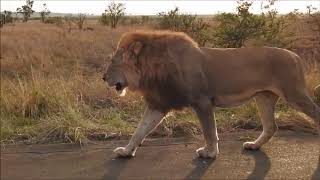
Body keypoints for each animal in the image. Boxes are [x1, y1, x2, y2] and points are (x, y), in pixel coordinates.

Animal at [102, 31, 320, 159]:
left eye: (113, 62)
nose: (103, 78)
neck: (152, 69)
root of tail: (296, 55)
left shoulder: (203, 101)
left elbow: (209, 131)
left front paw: (209, 153)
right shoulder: (159, 103)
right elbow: (140, 130)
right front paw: (126, 151)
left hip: (294, 94)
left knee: (314, 112)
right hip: (264, 96)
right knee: (271, 126)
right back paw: (254, 145)